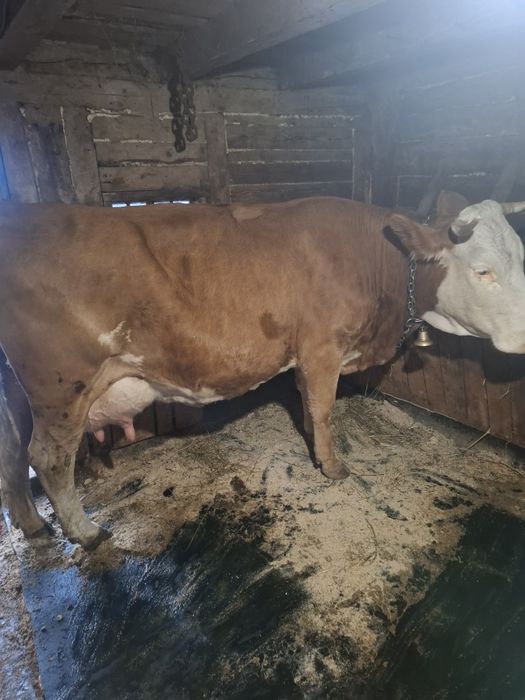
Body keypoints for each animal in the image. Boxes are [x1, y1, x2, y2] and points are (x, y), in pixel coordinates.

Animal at [1, 191, 525, 550]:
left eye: (520, 255)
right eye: (482, 270)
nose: (524, 333)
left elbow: (309, 407)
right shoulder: (321, 347)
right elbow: (324, 408)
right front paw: (332, 466)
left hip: (19, 395)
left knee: (12, 452)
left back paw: (34, 524)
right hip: (60, 387)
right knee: (48, 457)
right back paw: (85, 531)